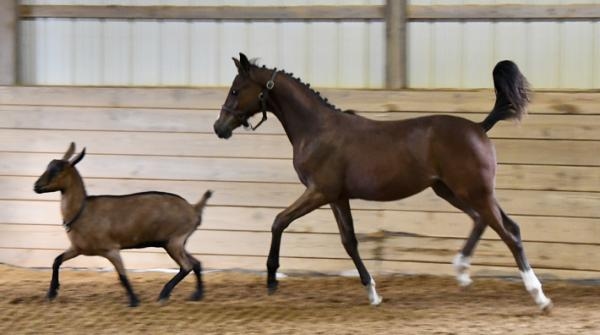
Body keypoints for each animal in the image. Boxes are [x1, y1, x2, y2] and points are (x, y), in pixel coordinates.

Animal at [33, 142, 211, 308]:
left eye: (57, 170)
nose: (36, 186)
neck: (83, 210)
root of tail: (194, 209)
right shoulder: (77, 248)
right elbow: (57, 261)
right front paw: (51, 293)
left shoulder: (111, 249)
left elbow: (122, 276)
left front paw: (134, 301)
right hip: (174, 243)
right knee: (196, 263)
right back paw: (197, 295)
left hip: (174, 241)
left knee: (186, 266)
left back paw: (164, 295)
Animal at [214, 53, 552, 312]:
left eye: (235, 90)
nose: (219, 127)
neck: (317, 129)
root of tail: (479, 127)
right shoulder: (337, 197)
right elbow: (349, 241)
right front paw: (373, 293)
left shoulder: (319, 192)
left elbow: (279, 221)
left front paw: (271, 279)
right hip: (453, 191)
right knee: (487, 222)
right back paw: (462, 271)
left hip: (474, 191)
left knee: (509, 233)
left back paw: (539, 296)